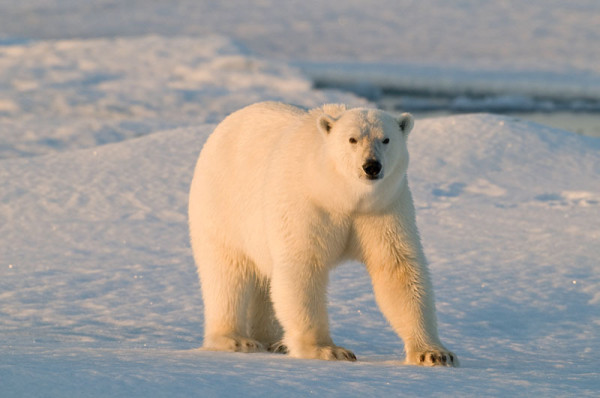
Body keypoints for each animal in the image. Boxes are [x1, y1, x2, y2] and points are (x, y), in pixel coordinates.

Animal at [190, 102, 458, 366]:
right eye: (352, 139)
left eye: (386, 139)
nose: (371, 166)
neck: (338, 193)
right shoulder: (306, 205)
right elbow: (303, 266)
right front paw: (328, 350)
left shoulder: (382, 208)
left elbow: (397, 268)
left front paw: (433, 353)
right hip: (222, 206)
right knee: (227, 273)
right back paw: (236, 339)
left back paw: (274, 342)